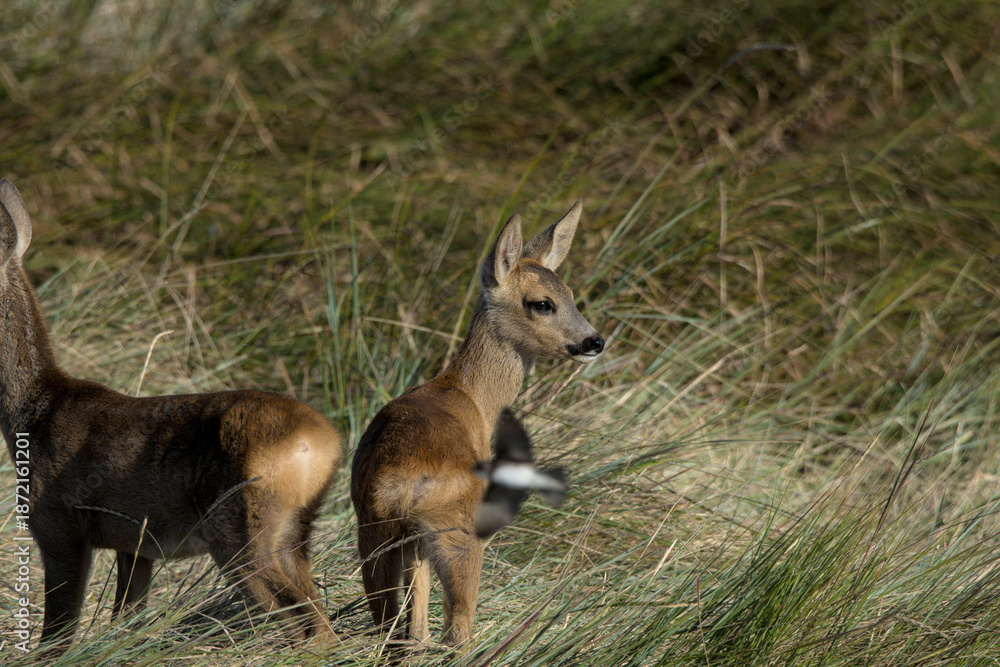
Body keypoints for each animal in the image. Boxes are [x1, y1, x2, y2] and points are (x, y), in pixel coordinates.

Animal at [0, 179, 341, 653]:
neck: (34, 416)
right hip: (295, 532)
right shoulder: (135, 545)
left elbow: (58, 634)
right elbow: (125, 617)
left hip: (240, 527)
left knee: (308, 624)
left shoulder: (59, 523)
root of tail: (322, 441)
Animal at [350, 201, 604, 648]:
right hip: (458, 530)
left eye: (571, 295)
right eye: (542, 303)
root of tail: (400, 479)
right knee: (458, 628)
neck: (475, 399)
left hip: (375, 530)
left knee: (395, 630)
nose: (595, 341)